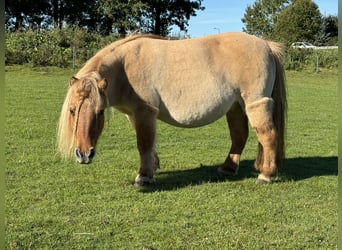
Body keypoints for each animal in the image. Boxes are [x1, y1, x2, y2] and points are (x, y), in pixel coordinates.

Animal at [57, 32, 288, 186]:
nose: (84, 154)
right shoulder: (135, 115)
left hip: (255, 104)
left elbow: (144, 143)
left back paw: (266, 175)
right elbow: (149, 143)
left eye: (100, 112)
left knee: (268, 136)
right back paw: (227, 168)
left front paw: (144, 176)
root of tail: (266, 45)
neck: (125, 67)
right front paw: (153, 167)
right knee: (239, 136)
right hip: (236, 107)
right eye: (72, 110)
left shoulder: (145, 112)